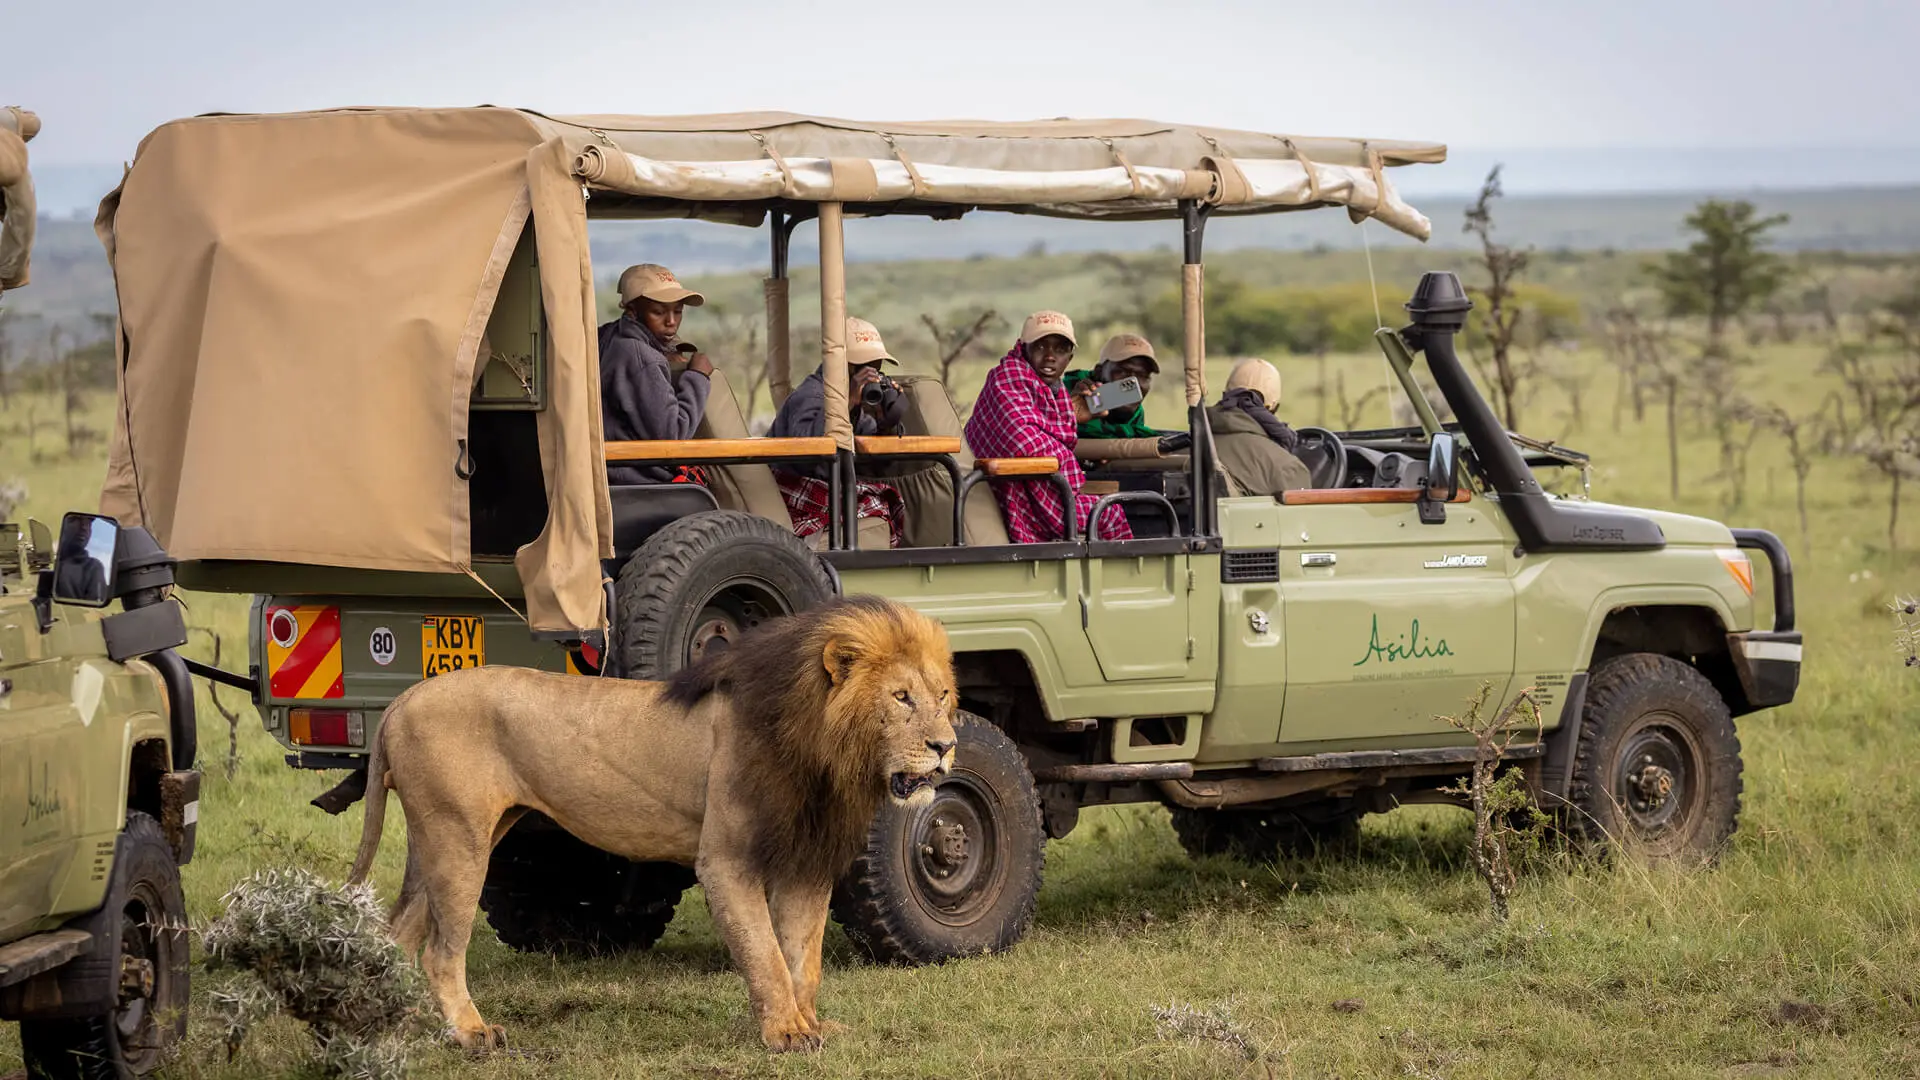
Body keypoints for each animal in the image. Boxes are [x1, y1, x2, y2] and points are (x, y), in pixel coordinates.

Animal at [343, 594, 959, 1052]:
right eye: (901, 698)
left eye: (943, 695)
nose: (947, 746)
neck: (824, 751)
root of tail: (402, 699)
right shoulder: (726, 860)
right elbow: (765, 952)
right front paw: (785, 1034)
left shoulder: (803, 858)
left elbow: (801, 957)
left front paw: (808, 1024)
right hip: (458, 838)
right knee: (438, 952)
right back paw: (471, 1033)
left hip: (449, 838)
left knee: (397, 934)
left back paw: (390, 1028)